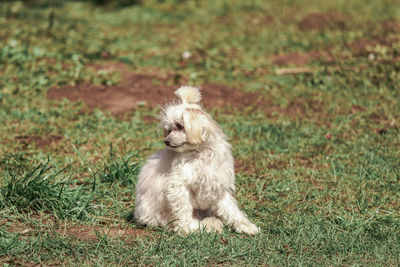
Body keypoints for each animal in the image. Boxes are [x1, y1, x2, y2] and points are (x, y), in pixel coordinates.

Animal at [134, 87, 260, 236]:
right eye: (169, 129)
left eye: (179, 126)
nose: (166, 141)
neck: (202, 153)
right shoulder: (179, 185)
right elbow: (183, 210)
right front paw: (188, 228)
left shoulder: (218, 186)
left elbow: (231, 210)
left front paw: (246, 226)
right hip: (159, 214)